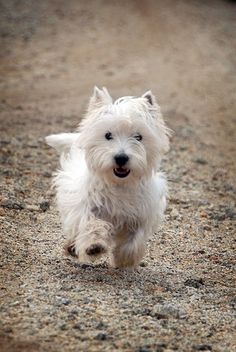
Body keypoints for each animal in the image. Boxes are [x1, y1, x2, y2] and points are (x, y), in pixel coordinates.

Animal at [45, 86, 170, 268]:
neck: (119, 183)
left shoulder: (142, 213)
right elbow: (91, 223)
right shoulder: (87, 205)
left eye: (138, 137)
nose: (121, 158)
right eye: (108, 135)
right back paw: (73, 247)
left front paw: (125, 257)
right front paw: (94, 245)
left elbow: (135, 238)